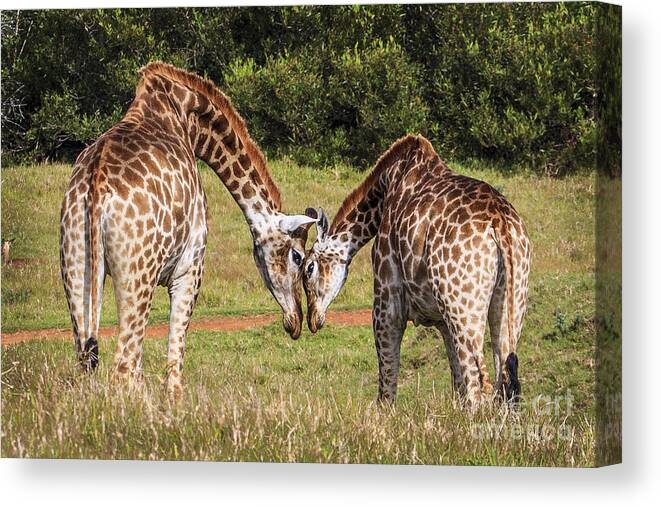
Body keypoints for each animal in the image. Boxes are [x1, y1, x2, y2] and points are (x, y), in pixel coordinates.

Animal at [58, 62, 316, 396]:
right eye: (297, 257)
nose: (295, 322)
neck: (187, 120)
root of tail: (96, 185)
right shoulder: (189, 270)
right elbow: (174, 366)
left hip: (76, 264)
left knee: (88, 360)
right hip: (137, 274)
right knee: (123, 368)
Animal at [304, 134, 532, 408]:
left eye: (308, 268)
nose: (312, 320)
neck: (385, 188)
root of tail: (501, 222)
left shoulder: (386, 300)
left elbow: (387, 381)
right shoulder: (442, 320)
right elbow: (457, 383)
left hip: (462, 306)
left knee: (480, 382)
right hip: (511, 297)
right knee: (505, 379)